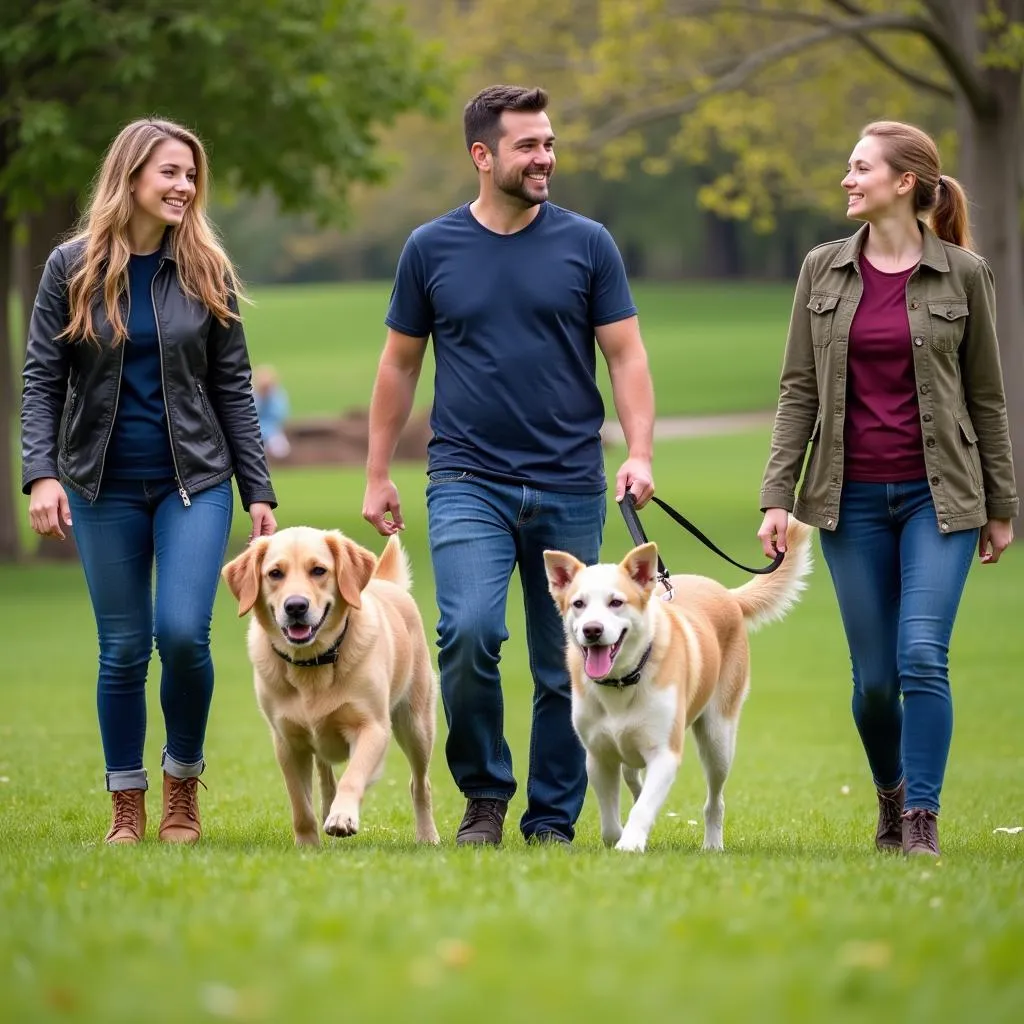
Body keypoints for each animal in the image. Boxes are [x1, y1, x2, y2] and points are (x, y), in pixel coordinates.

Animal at [222, 528, 438, 847]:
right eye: (275, 573)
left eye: (318, 570)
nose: (295, 606)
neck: (312, 662)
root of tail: (384, 582)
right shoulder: (287, 741)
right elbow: (300, 804)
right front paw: (307, 845)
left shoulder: (373, 727)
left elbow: (354, 775)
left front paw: (342, 816)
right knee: (325, 774)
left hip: (416, 726)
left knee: (420, 784)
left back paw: (427, 835)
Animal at [540, 524, 811, 851]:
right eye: (578, 604)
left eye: (616, 602)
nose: (592, 630)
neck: (623, 681)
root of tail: (726, 593)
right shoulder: (598, 755)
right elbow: (609, 820)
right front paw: (618, 838)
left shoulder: (665, 754)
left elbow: (644, 807)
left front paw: (630, 844)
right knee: (632, 775)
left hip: (718, 738)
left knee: (714, 800)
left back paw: (712, 844)